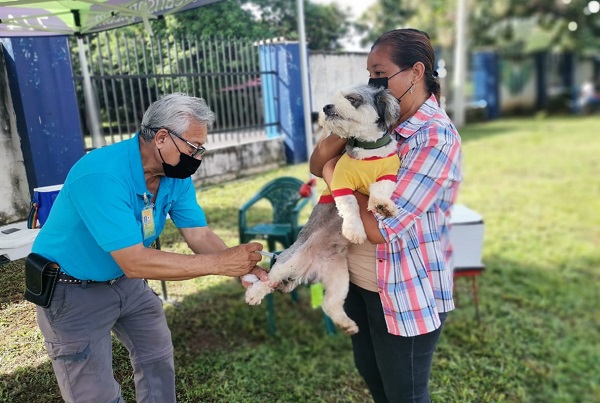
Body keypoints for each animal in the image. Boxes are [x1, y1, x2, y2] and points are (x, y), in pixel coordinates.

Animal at [244, 84, 404, 334]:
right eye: (335, 97)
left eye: (352, 99)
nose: (327, 107)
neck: (368, 151)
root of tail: (311, 269)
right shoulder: (340, 182)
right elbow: (350, 205)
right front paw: (354, 231)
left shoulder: (388, 172)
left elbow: (380, 188)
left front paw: (383, 205)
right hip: (290, 260)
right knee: (269, 279)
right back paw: (253, 294)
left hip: (339, 278)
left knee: (330, 304)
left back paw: (346, 325)